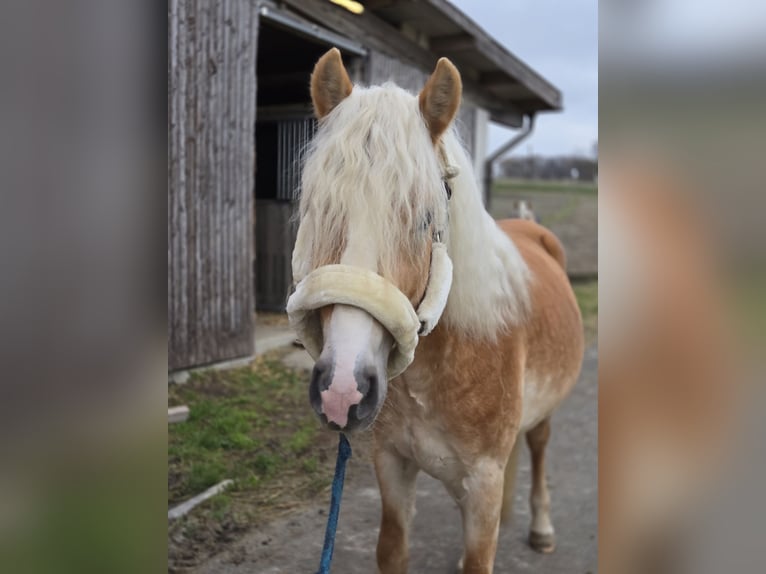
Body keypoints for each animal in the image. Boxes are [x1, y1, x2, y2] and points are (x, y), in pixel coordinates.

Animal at [286, 48, 584, 574]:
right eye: (318, 210)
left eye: (426, 218)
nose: (342, 390)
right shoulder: (392, 465)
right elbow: (393, 548)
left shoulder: (482, 486)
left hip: (545, 413)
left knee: (540, 446)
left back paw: (540, 529)